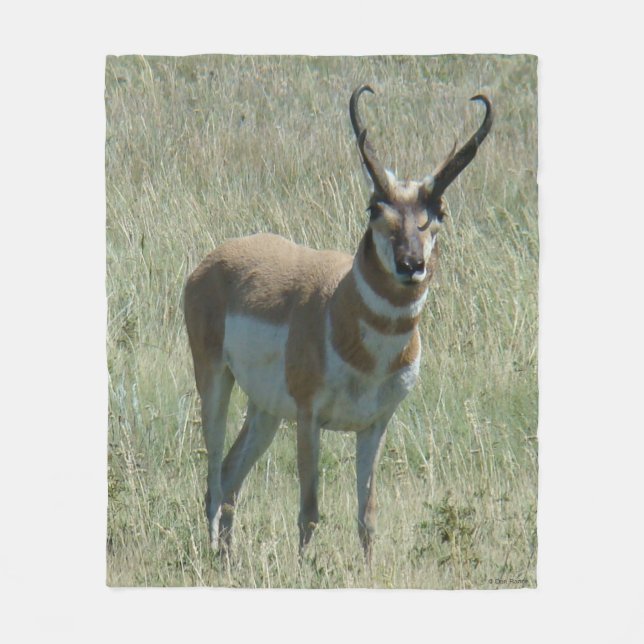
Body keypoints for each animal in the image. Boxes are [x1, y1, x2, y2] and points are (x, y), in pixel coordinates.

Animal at [184, 84, 492, 562]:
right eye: (374, 208)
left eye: (437, 211)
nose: (411, 265)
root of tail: (214, 259)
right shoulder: (309, 419)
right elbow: (309, 510)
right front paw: (304, 569)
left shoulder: (374, 425)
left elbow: (367, 516)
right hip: (215, 382)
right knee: (214, 477)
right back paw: (217, 554)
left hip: (266, 410)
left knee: (232, 472)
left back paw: (228, 559)